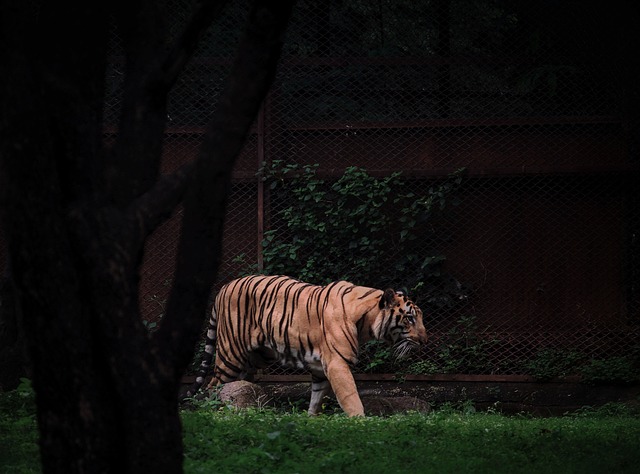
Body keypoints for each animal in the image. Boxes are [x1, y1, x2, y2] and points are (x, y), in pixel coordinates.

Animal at [182, 274, 428, 414]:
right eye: (410, 318)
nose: (425, 340)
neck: (365, 321)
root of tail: (224, 288)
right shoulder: (337, 363)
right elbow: (350, 397)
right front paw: (360, 423)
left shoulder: (320, 369)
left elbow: (316, 398)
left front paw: (311, 420)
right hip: (230, 354)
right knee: (213, 384)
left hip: (255, 357)